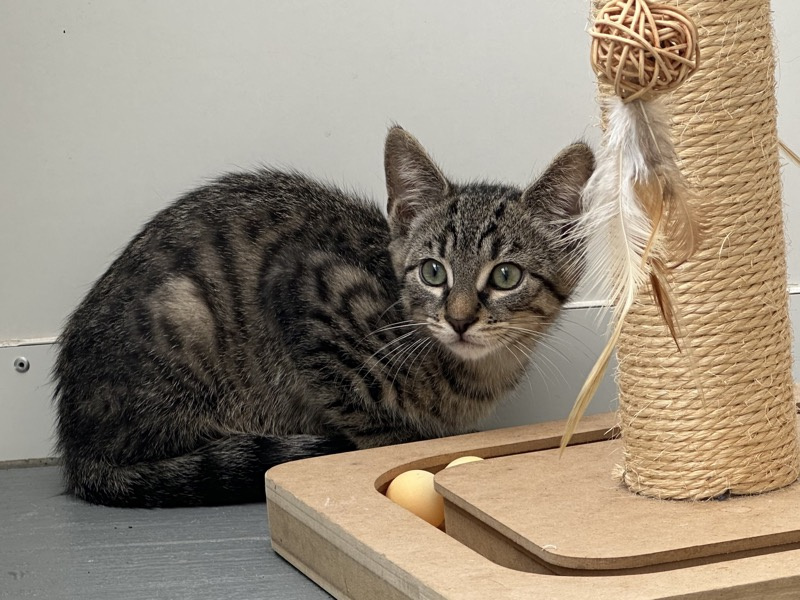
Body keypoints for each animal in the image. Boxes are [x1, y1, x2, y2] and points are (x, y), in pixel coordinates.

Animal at [53, 126, 594, 507]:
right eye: (432, 271)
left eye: (505, 276)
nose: (459, 319)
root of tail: (77, 448)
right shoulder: (305, 289)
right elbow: (374, 426)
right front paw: (396, 449)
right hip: (186, 317)